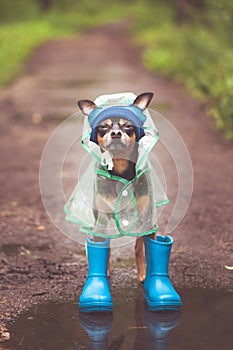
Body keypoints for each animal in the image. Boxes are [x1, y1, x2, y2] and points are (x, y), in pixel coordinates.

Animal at [77, 92, 156, 282]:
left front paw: (144, 274)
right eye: (103, 127)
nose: (115, 133)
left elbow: (141, 247)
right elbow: (103, 247)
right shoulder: (102, 220)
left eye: (127, 126)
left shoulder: (147, 219)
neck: (121, 168)